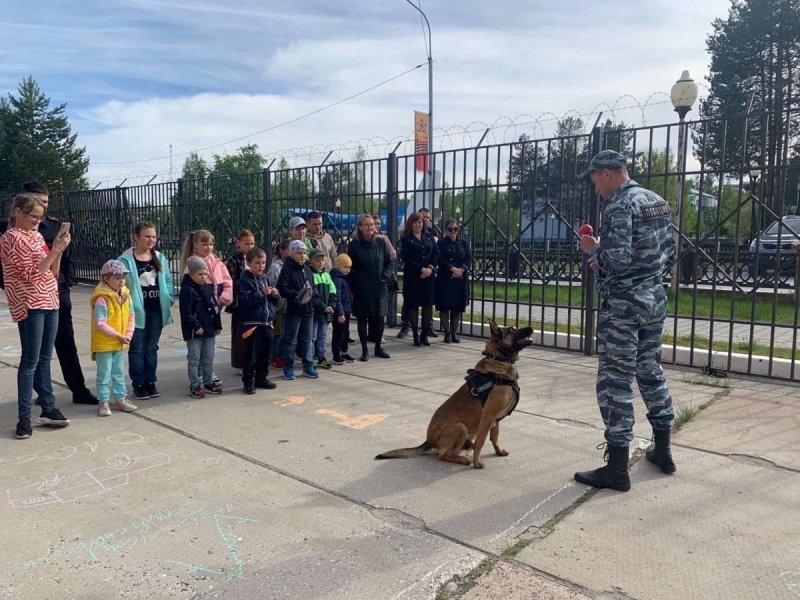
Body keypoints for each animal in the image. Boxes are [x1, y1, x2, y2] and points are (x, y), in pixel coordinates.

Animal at [374, 318, 532, 468]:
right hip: (460, 427)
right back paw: (463, 459)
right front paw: (477, 462)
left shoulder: (495, 419)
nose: (531, 327)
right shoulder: (488, 416)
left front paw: (498, 451)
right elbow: (481, 441)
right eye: (511, 330)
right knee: (442, 455)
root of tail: (428, 440)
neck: (499, 359)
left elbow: (495, 437)